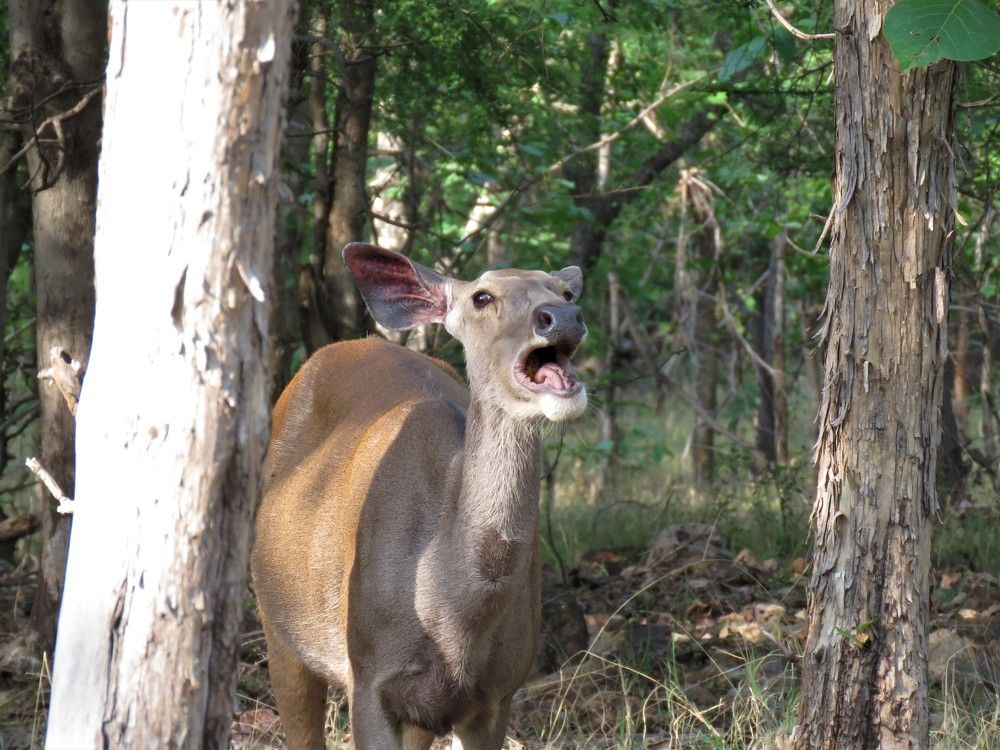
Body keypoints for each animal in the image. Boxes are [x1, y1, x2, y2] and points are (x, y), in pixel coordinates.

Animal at [251, 243, 588, 750]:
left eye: (565, 291)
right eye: (482, 296)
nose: (562, 317)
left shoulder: (499, 692)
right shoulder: (369, 677)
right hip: (277, 625)